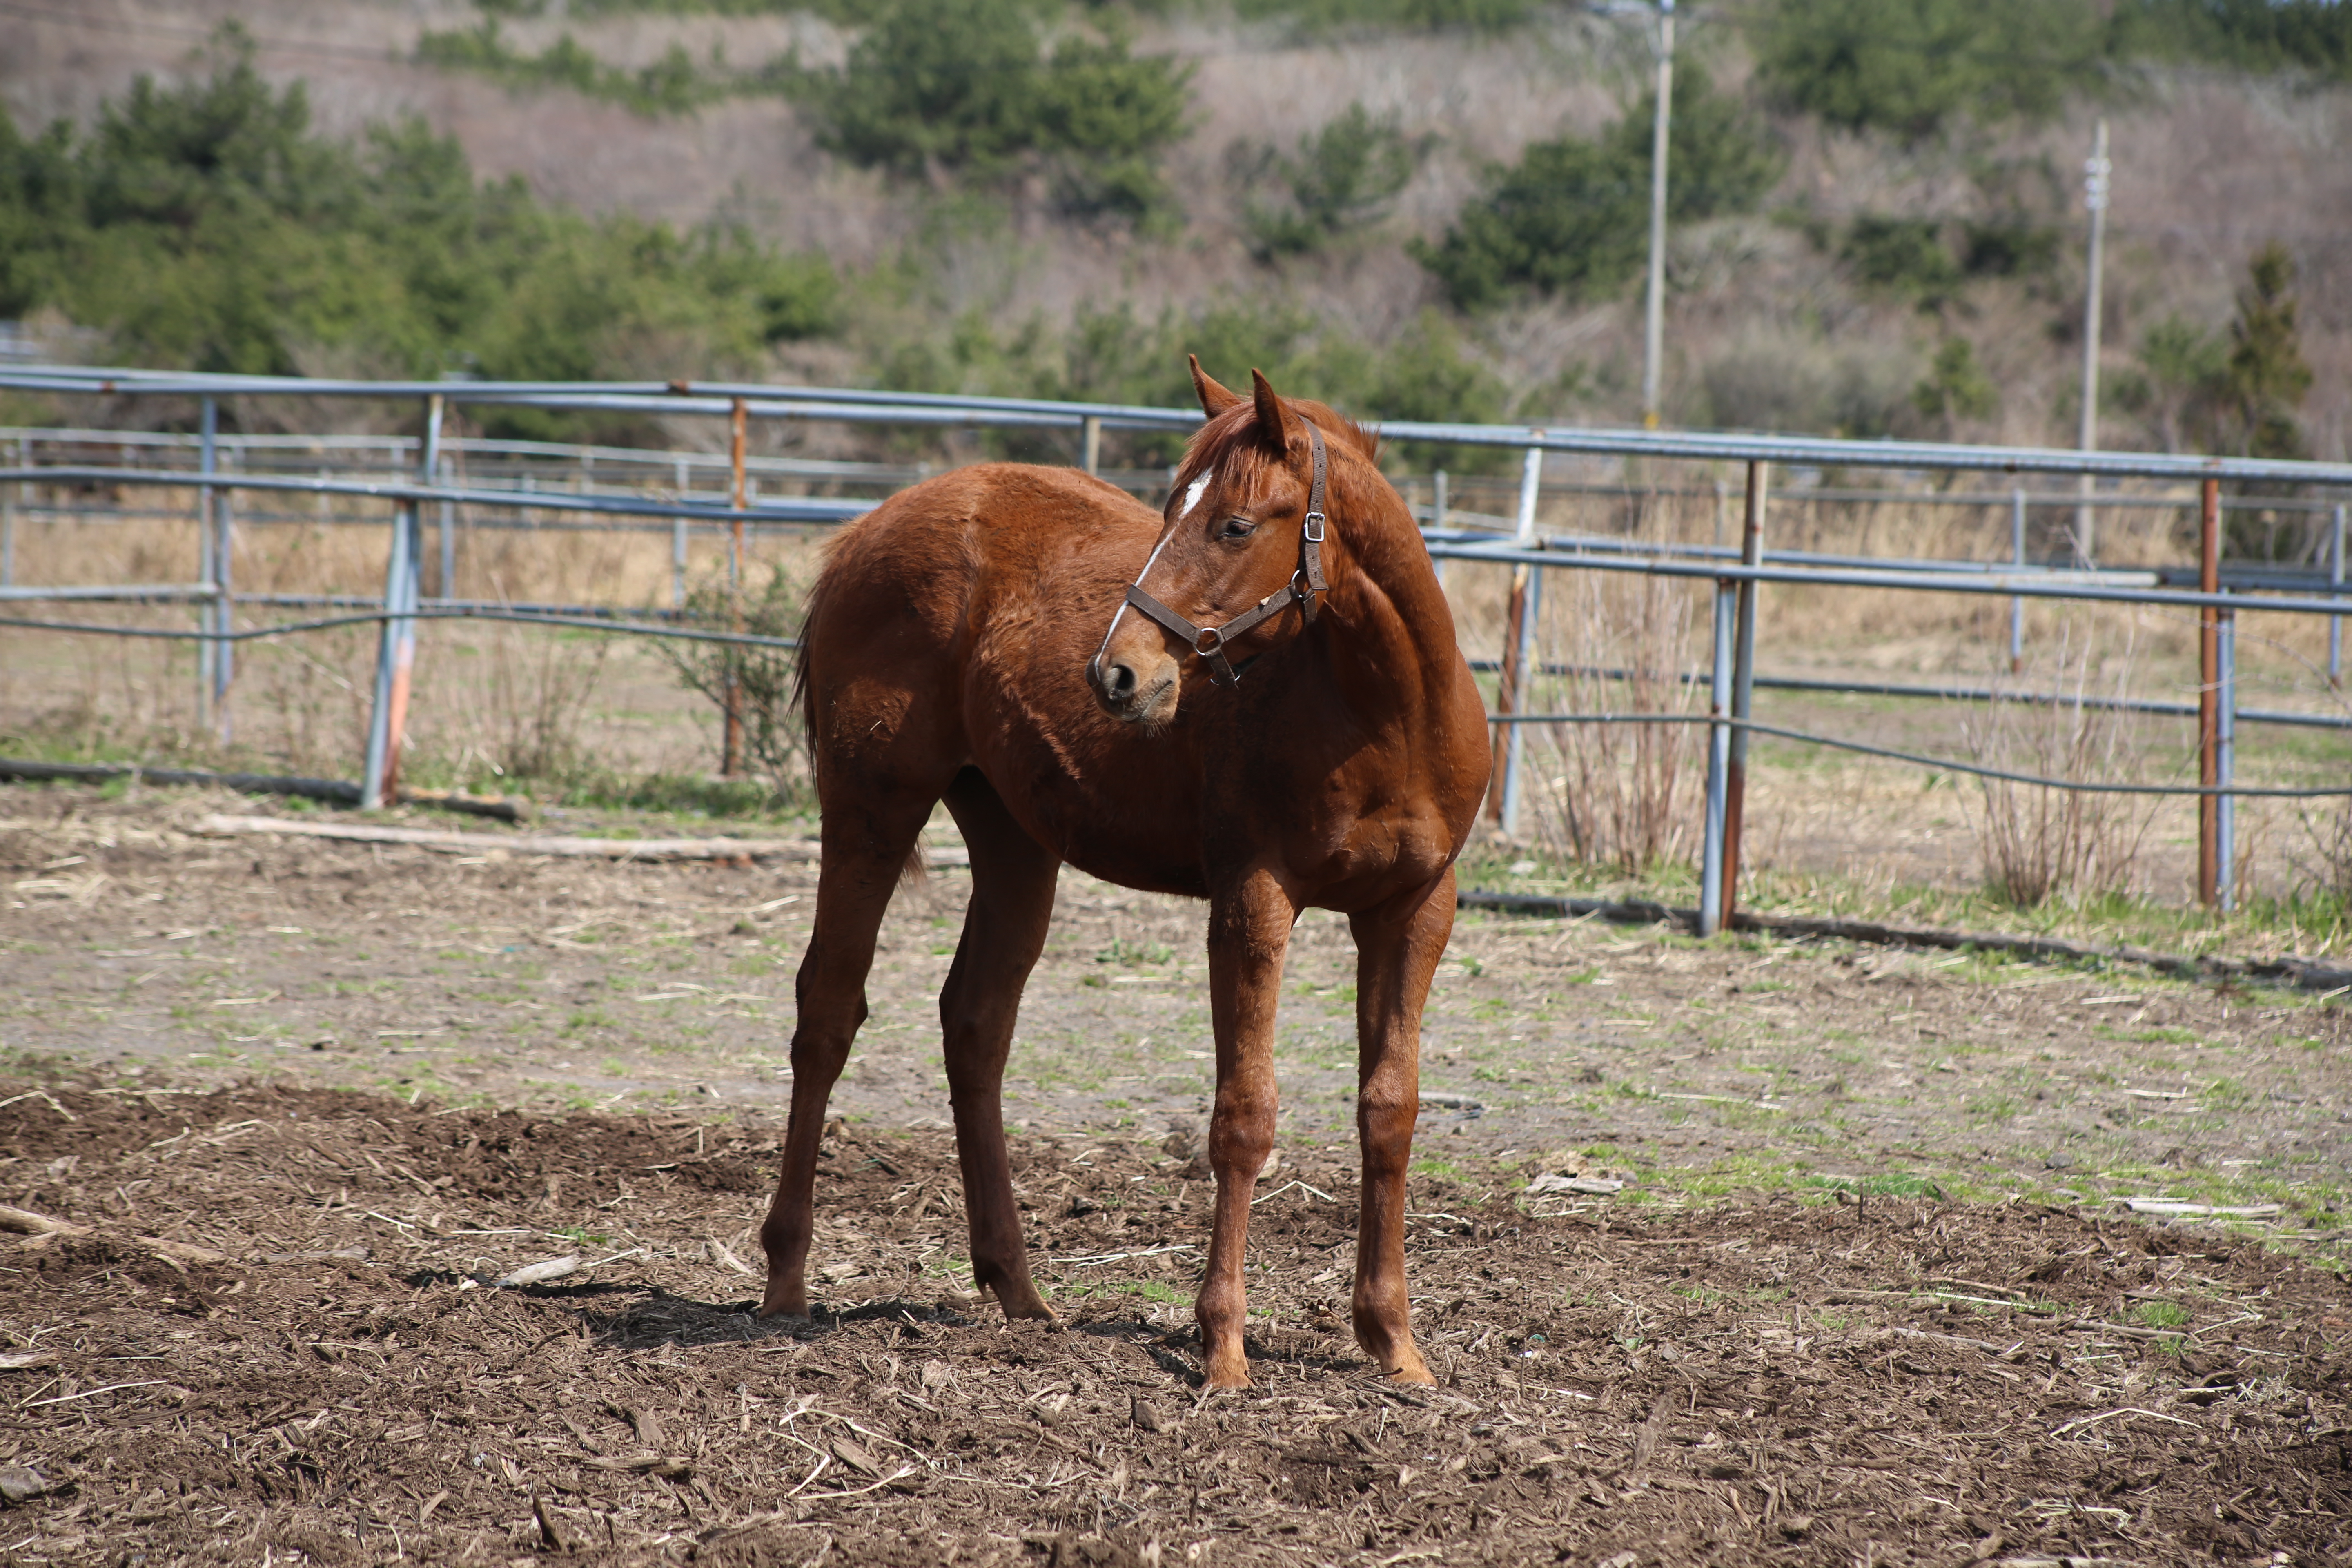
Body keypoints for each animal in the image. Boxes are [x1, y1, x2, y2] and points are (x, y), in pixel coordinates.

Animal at [757, 364, 1486, 1382]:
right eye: (1170, 508)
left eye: (1235, 525)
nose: (1119, 675)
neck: (1384, 713)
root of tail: (865, 532)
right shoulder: (1254, 900)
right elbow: (1244, 1117)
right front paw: (1223, 1348)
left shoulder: (1415, 910)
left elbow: (1390, 1109)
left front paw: (1394, 1345)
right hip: (871, 812)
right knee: (828, 1010)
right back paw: (786, 1280)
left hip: (1015, 841)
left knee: (975, 1026)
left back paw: (1018, 1291)